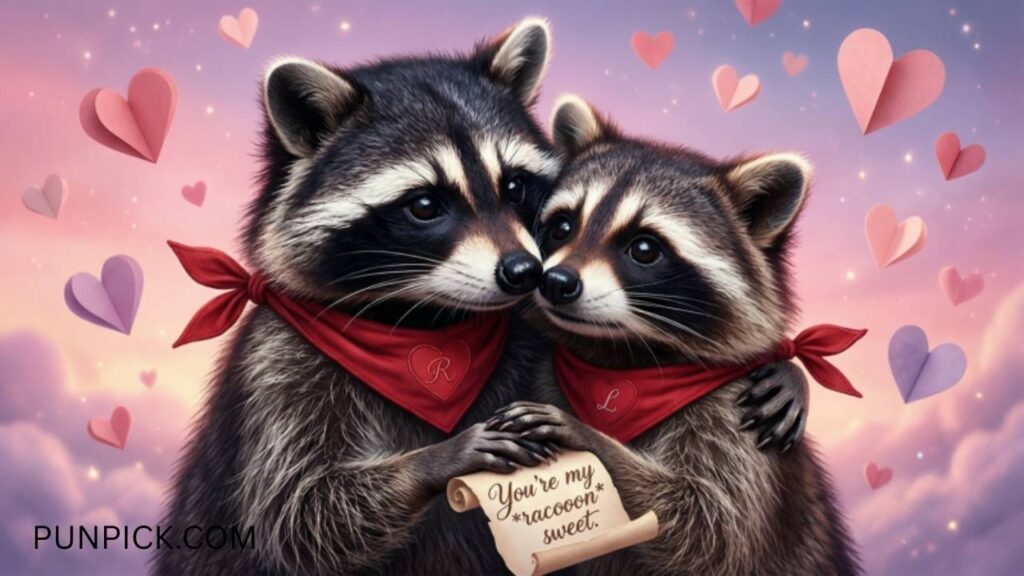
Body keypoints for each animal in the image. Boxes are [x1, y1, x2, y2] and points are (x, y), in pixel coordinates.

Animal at [155, 18, 565, 576]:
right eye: (424, 205)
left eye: (517, 185)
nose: (524, 272)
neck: (429, 323)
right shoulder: (280, 369)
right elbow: (300, 511)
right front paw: (436, 459)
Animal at [491, 96, 860, 576]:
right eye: (563, 226)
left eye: (645, 249)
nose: (555, 281)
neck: (619, 361)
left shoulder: (733, 424)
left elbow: (706, 528)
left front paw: (585, 437)